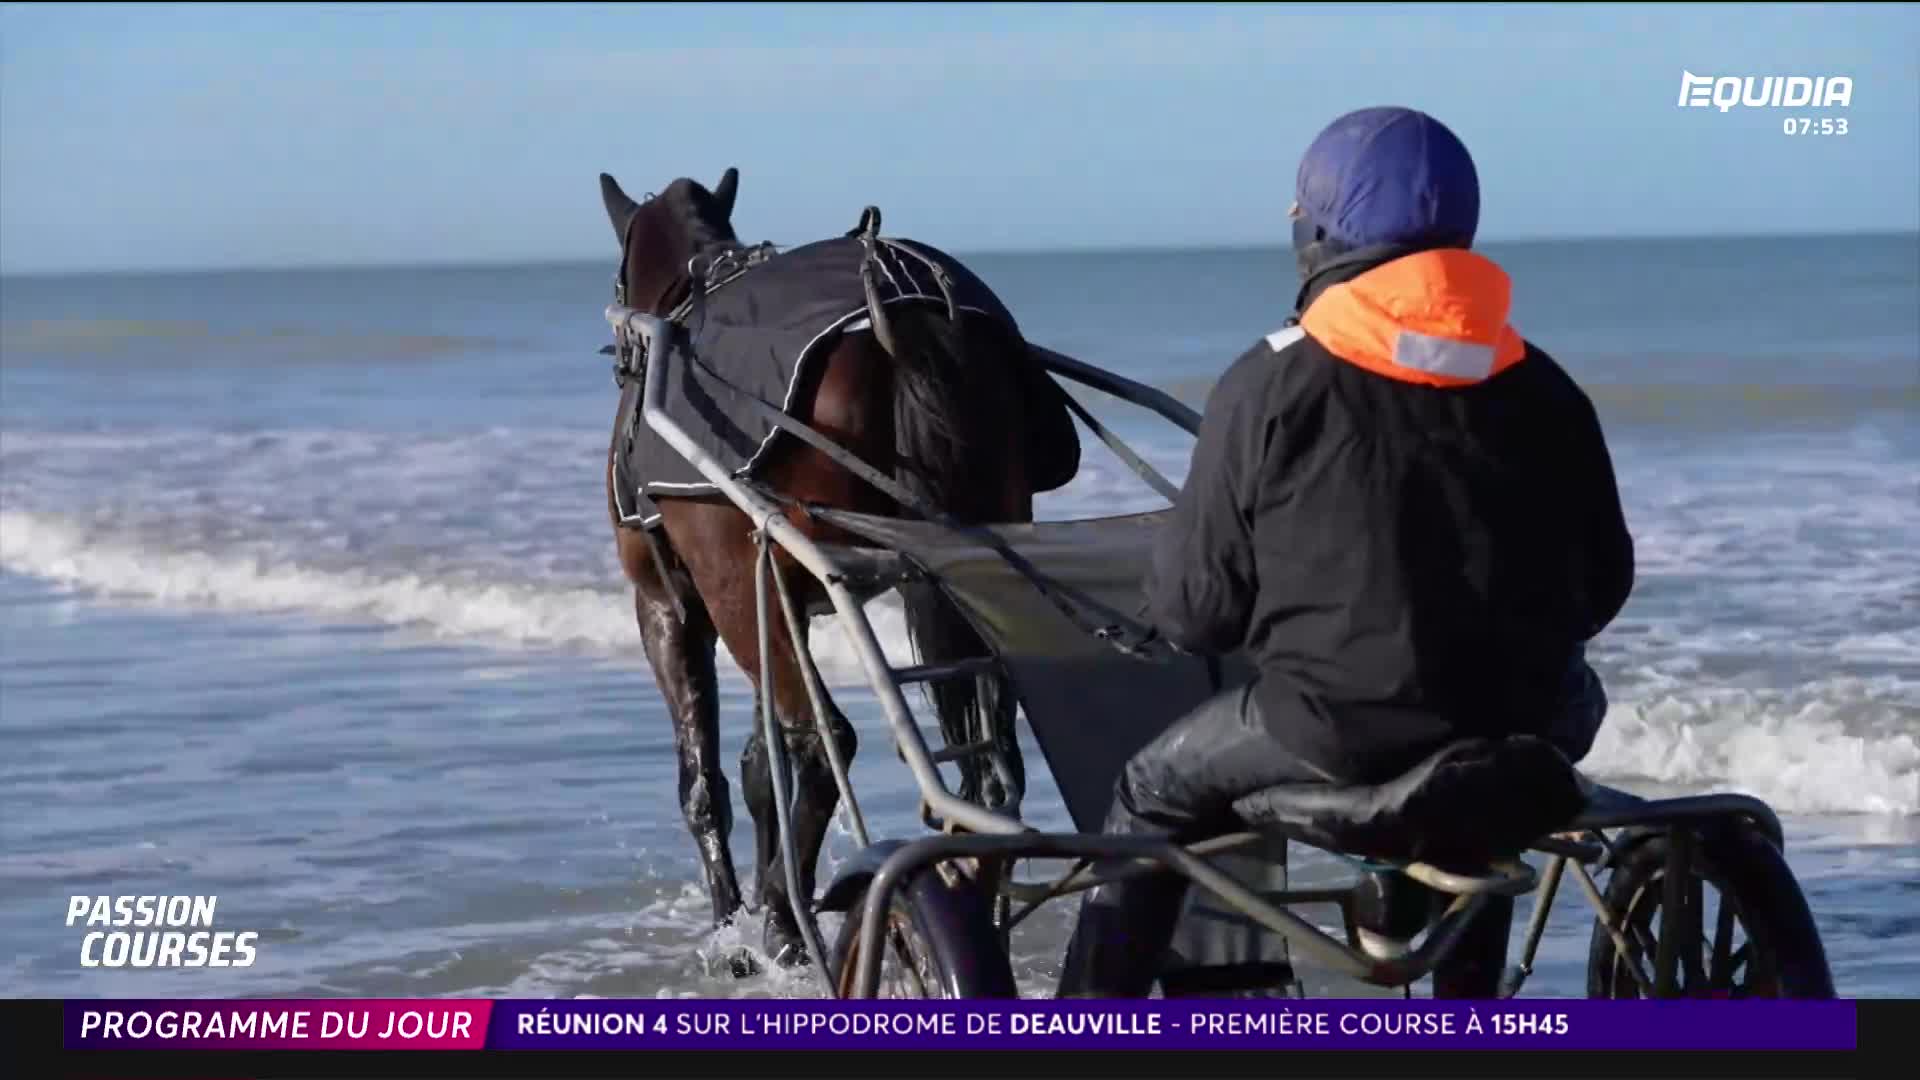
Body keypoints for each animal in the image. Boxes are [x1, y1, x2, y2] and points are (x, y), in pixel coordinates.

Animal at [596, 167, 1080, 969]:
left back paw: (787, 923)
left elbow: (708, 778)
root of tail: (900, 310)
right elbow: (760, 768)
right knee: (992, 774)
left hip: (734, 586)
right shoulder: (778, 597)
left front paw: (736, 925)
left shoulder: (673, 603)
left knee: (823, 747)